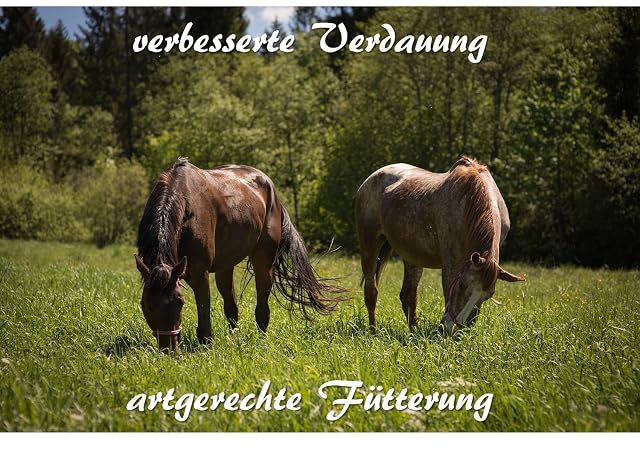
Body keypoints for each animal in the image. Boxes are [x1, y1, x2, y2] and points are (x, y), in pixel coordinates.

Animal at [134, 158, 343, 351]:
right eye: (146, 304)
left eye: (180, 302)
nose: (169, 348)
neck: (184, 205)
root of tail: (270, 187)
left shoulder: (199, 274)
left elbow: (204, 315)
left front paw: (206, 348)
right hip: (225, 267)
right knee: (231, 308)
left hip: (263, 261)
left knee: (262, 309)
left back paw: (261, 342)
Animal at [355, 156, 525, 335]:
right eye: (462, 285)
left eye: (489, 296)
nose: (452, 329)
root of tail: (371, 178)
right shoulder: (452, 264)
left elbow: (474, 315)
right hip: (370, 247)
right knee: (371, 291)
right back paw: (373, 331)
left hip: (412, 256)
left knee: (408, 296)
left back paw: (414, 333)